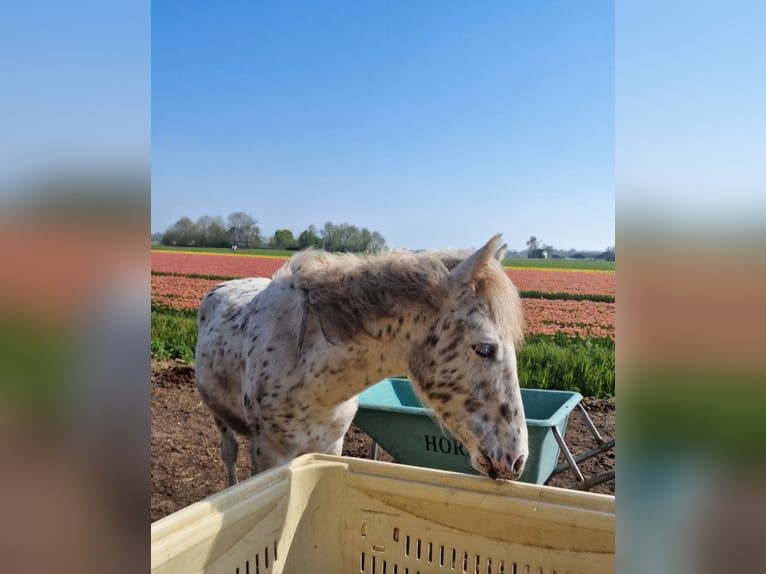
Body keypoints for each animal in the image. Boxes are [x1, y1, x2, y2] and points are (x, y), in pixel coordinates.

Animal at [195, 235, 528, 490]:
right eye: (484, 348)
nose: (517, 458)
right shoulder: (269, 455)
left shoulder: (330, 446)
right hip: (218, 416)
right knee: (229, 453)